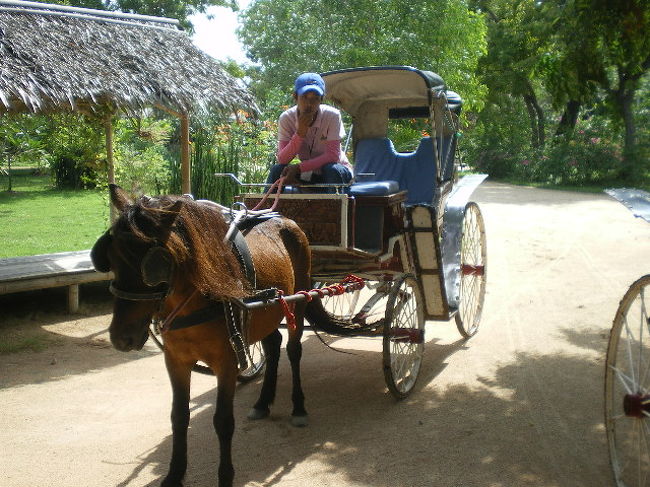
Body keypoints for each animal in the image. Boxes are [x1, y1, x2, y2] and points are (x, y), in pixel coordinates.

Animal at [91, 184, 336, 487]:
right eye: (110, 257)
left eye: (151, 266)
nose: (121, 337)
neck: (194, 300)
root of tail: (287, 219)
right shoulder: (176, 362)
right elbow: (178, 416)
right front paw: (174, 473)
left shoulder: (227, 363)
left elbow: (223, 421)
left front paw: (225, 476)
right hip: (267, 311)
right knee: (272, 346)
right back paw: (263, 402)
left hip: (297, 302)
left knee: (292, 350)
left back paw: (298, 406)